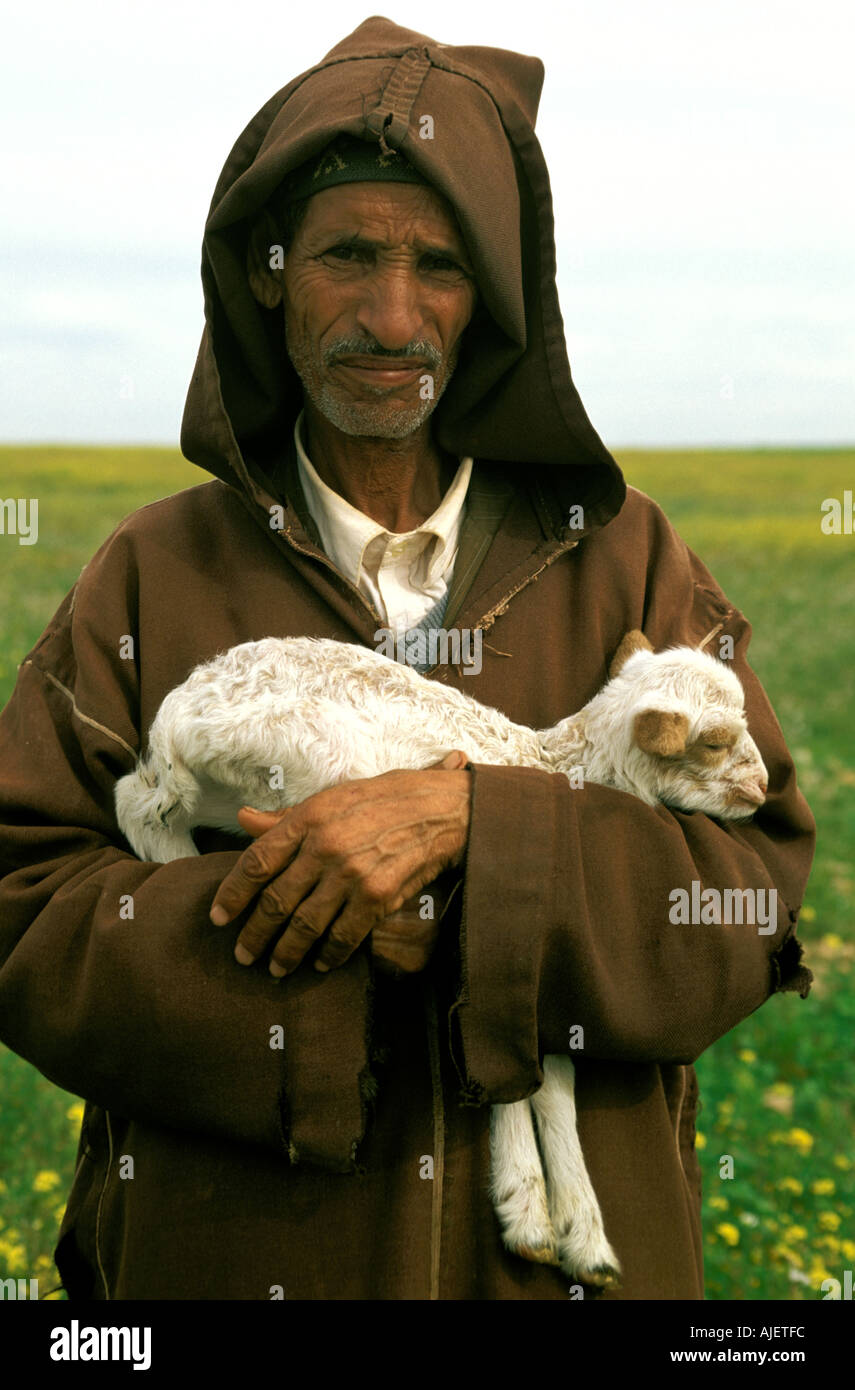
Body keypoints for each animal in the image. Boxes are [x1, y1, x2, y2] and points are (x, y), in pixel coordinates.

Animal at [114, 628, 768, 1289]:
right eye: (714, 742)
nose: (764, 789)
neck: (555, 762)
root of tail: (178, 716)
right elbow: (511, 1068)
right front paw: (529, 1215)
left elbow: (554, 1078)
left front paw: (584, 1240)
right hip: (309, 766)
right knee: (140, 804)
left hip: (224, 792)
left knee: (136, 799)